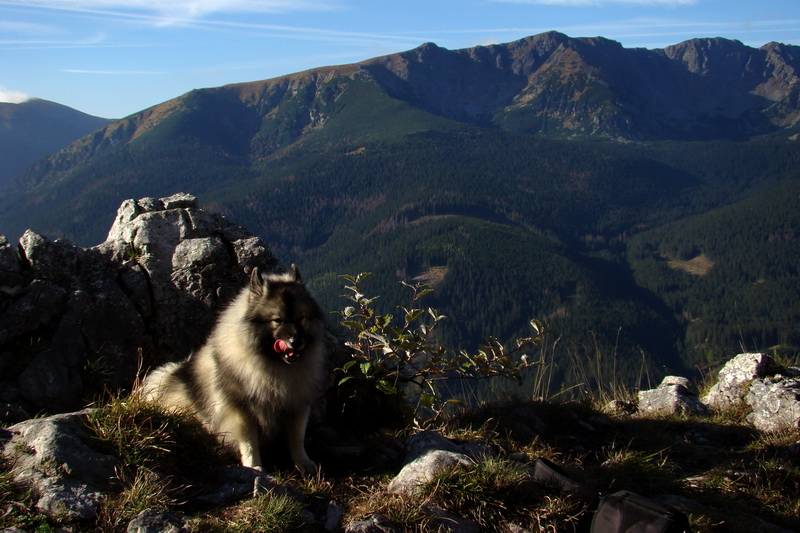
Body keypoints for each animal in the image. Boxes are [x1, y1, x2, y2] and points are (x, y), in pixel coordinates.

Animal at [139, 264, 326, 472]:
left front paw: (303, 463)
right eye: (277, 320)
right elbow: (249, 442)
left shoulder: (297, 404)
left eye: (301, 318)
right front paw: (255, 467)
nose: (296, 342)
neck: (274, 366)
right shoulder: (241, 409)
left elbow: (296, 439)